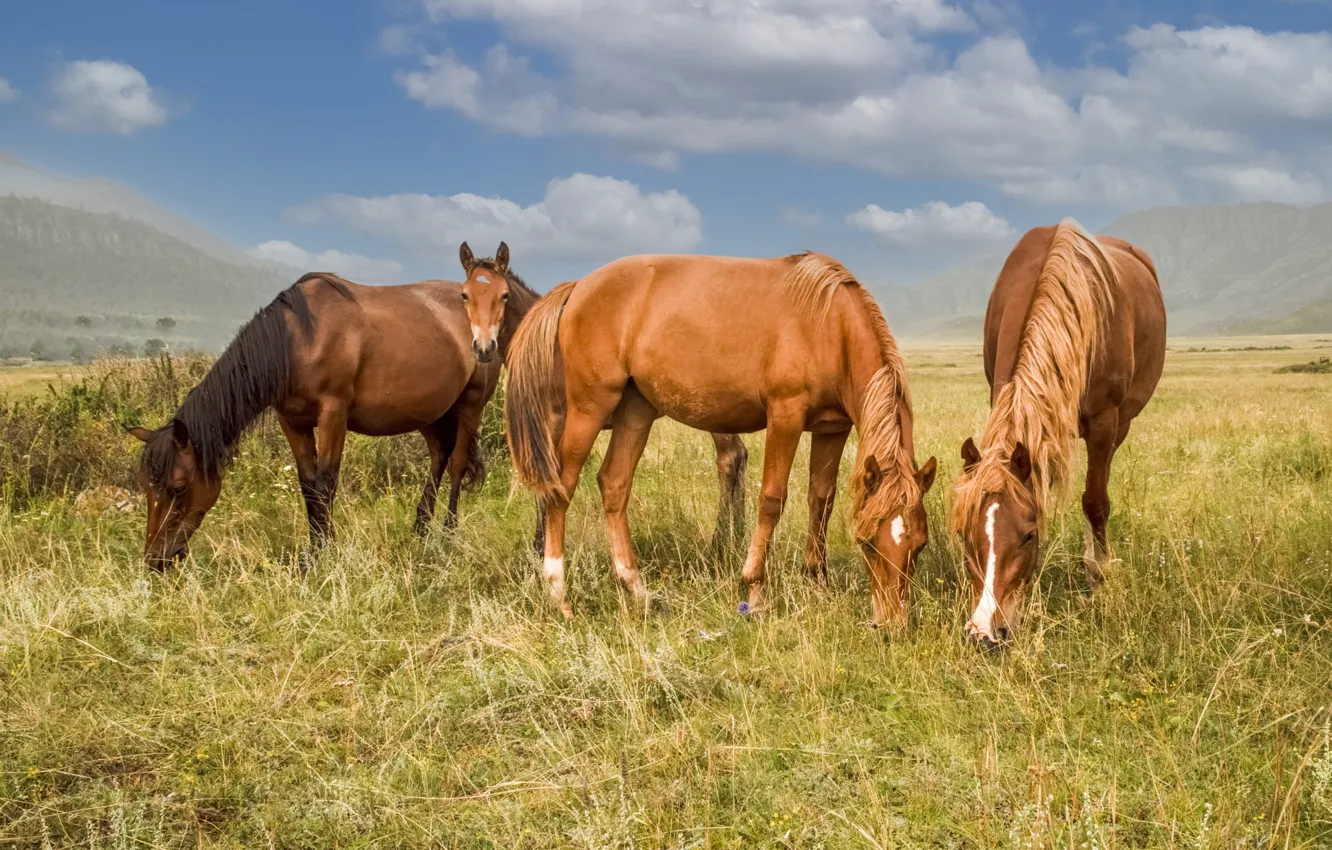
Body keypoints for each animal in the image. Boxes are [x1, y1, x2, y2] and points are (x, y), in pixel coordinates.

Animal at [504, 251, 937, 625]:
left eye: (919, 545)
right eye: (868, 543)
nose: (892, 622)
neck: (830, 323)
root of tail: (578, 286)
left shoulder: (832, 428)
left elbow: (821, 501)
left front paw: (817, 584)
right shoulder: (785, 416)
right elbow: (771, 500)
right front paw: (755, 590)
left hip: (635, 410)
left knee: (614, 483)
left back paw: (637, 588)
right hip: (590, 407)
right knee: (560, 488)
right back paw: (559, 594)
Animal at [950, 219, 1165, 648]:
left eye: (1029, 536)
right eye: (966, 533)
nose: (985, 631)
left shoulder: (1104, 421)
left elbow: (1095, 501)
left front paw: (1098, 577)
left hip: (1120, 425)